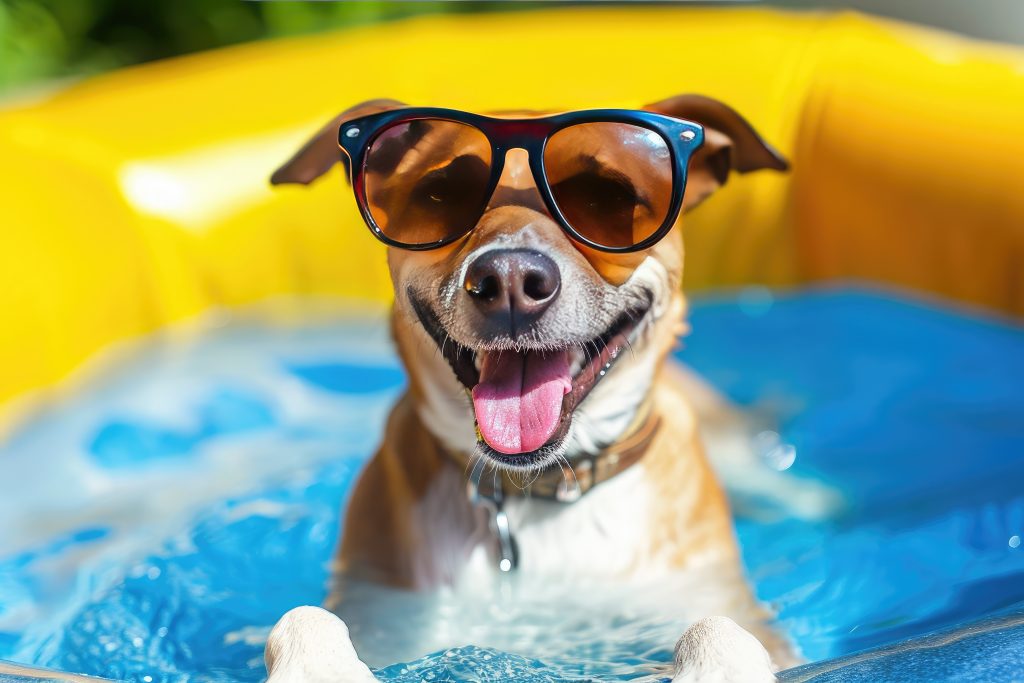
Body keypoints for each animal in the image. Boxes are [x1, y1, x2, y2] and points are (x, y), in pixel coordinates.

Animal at [268, 96, 794, 679]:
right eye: (441, 192)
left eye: (605, 196)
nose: (510, 280)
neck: (539, 493)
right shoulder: (386, 612)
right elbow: (304, 617)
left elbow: (719, 625)